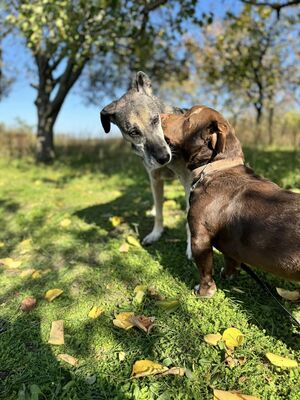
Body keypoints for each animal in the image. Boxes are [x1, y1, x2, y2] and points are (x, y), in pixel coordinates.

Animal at [162, 105, 300, 296]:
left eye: (187, 118)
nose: (159, 116)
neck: (215, 167)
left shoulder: (200, 237)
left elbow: (205, 270)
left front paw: (204, 292)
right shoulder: (230, 243)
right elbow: (231, 259)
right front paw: (228, 275)